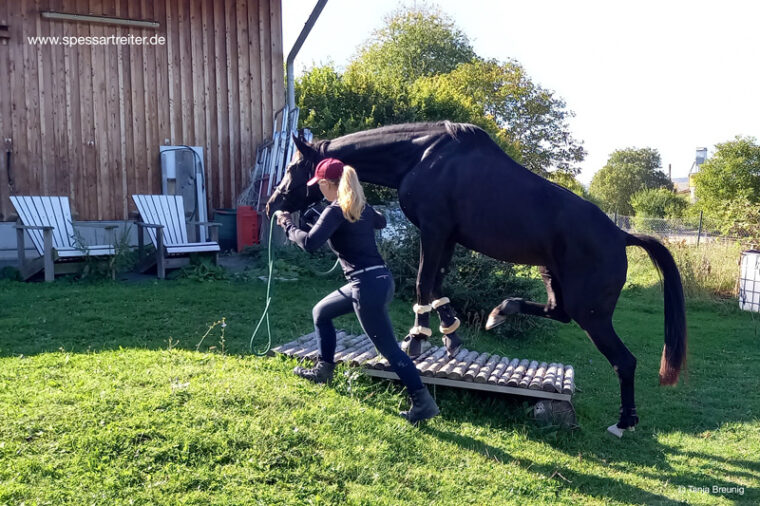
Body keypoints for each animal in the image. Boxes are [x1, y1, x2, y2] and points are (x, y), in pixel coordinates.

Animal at [268, 120, 688, 428]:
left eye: (292, 167)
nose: (274, 203)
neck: (422, 155)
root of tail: (621, 235)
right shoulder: (448, 237)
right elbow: (437, 282)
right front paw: (450, 334)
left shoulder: (434, 230)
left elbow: (423, 281)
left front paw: (417, 340)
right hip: (556, 282)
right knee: (556, 312)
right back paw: (501, 312)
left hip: (593, 313)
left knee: (624, 361)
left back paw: (625, 422)